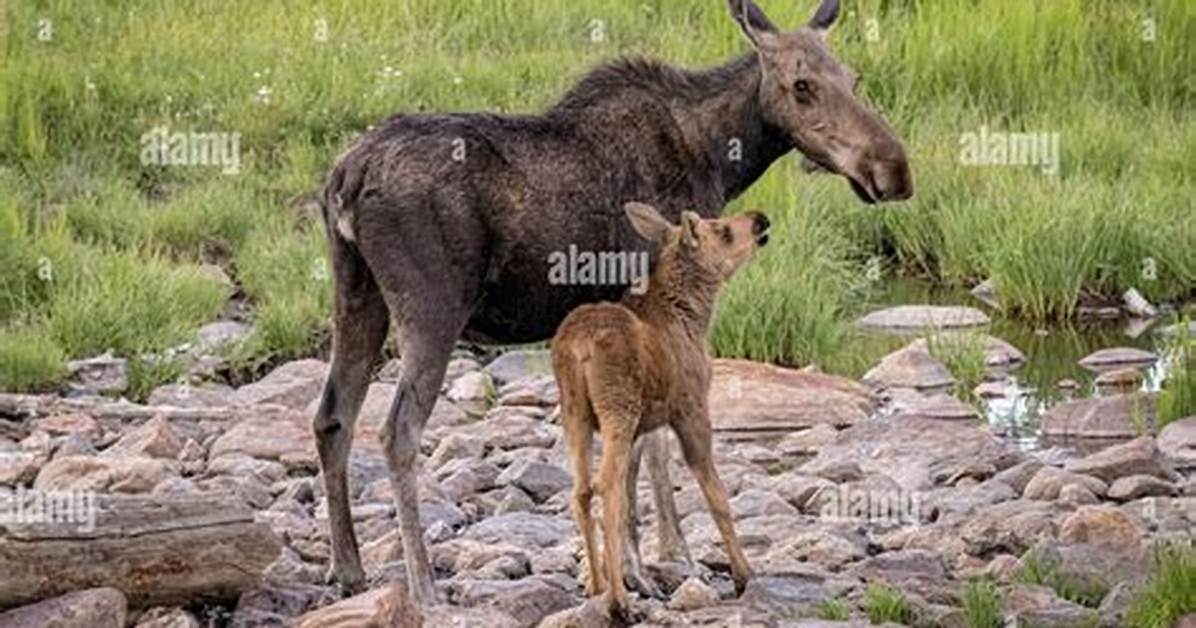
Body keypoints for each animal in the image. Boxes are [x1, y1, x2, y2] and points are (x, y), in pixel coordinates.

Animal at [553, 202, 768, 617]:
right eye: (723, 231)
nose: (760, 219)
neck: (695, 315)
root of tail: (579, 346)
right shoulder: (691, 408)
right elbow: (716, 495)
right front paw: (743, 574)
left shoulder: (646, 426)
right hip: (617, 409)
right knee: (607, 486)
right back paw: (618, 601)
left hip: (576, 413)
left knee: (582, 490)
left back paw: (598, 587)